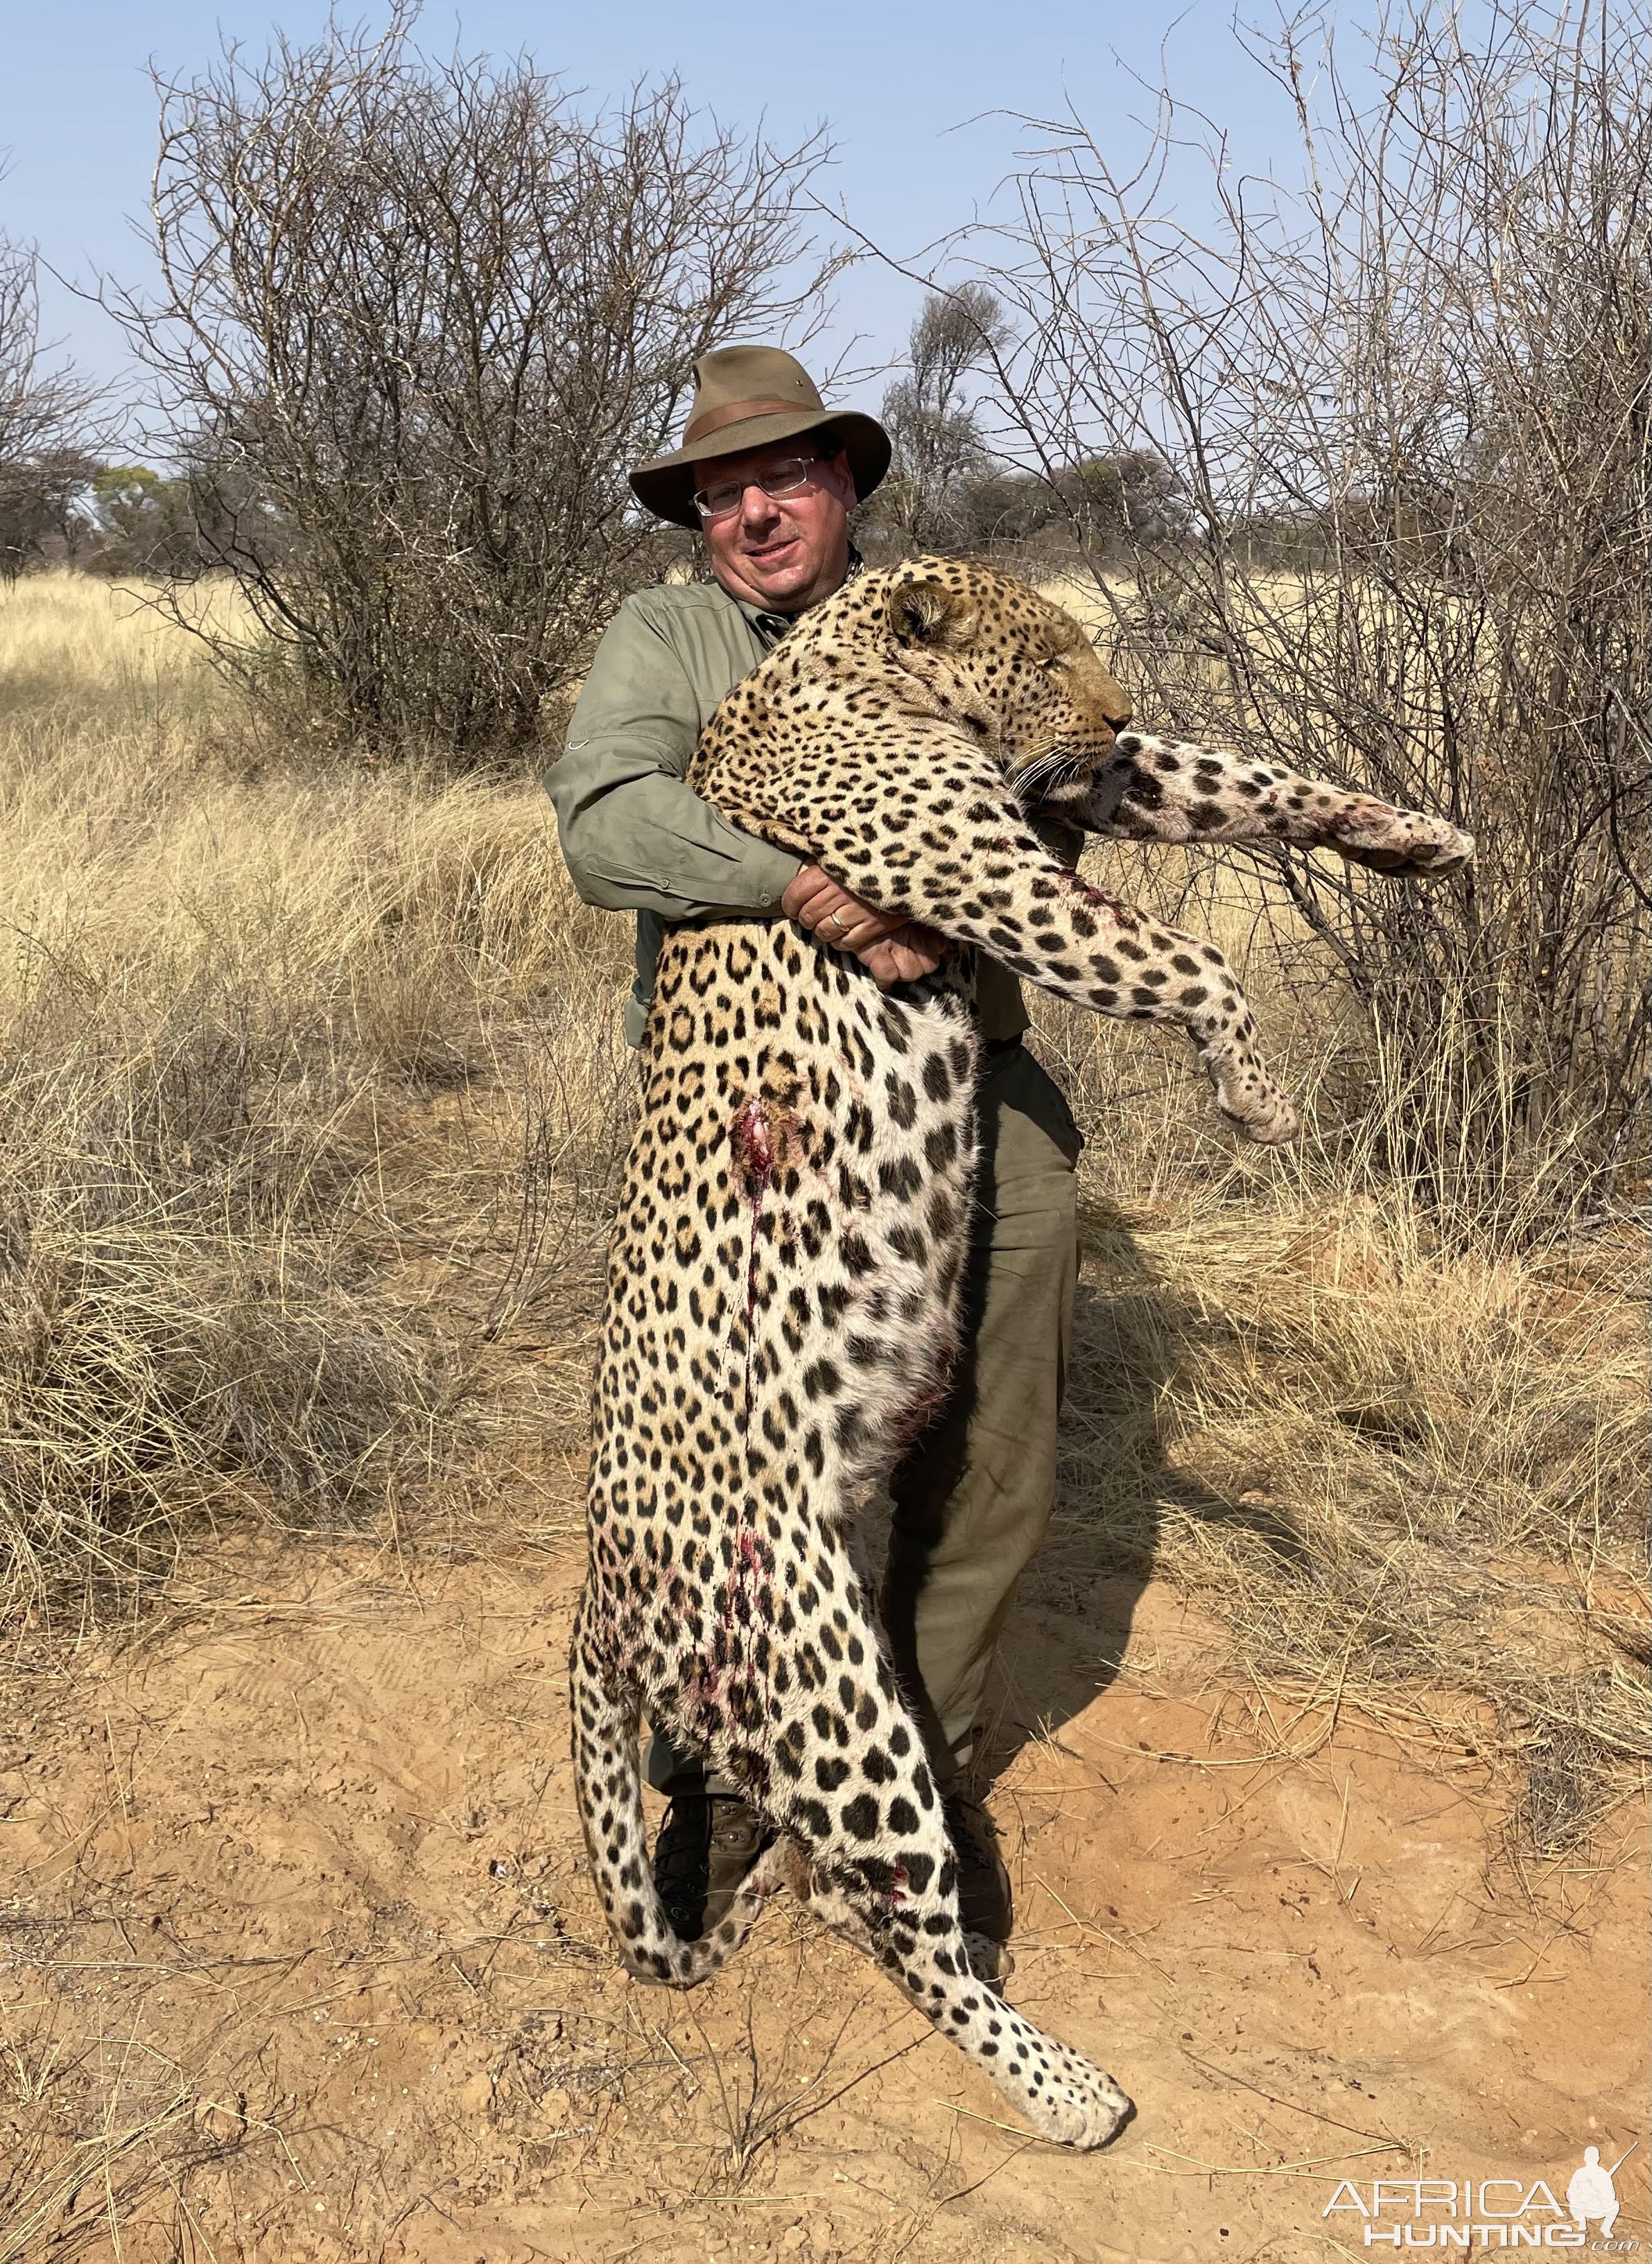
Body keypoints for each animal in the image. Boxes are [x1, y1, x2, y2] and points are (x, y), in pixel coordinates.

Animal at [566, 557, 1466, 2146]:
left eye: (1086, 658)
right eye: (1040, 656)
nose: (1104, 706)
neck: (851, 658)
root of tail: (594, 1605)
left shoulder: (1068, 797)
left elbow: (1238, 781)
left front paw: (1406, 832)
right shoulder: (996, 878)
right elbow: (1191, 958)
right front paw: (1252, 1095)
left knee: (842, 1890)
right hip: (829, 1691)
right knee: (889, 1918)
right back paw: (1068, 2088)